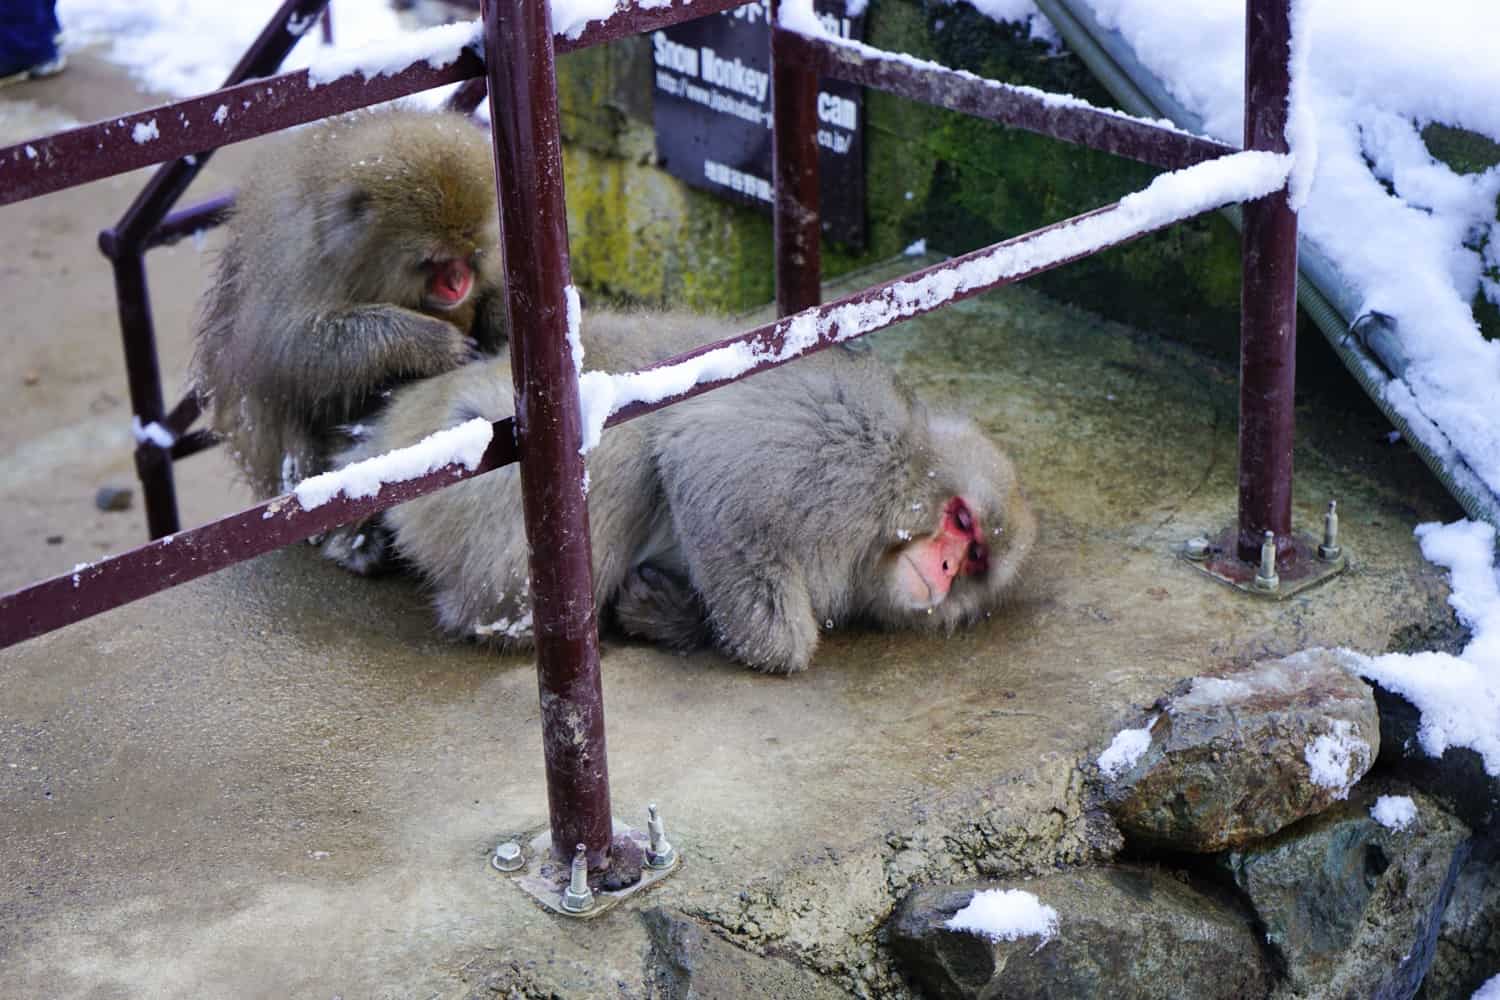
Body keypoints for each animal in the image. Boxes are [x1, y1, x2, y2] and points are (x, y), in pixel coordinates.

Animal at [192, 107, 510, 569]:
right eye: (435, 261)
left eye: (471, 255)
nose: (457, 283)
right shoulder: (298, 254)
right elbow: (292, 352)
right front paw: (429, 341)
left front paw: (501, 318)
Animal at [337, 313, 1032, 671]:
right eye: (962, 522)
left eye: (975, 559)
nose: (945, 569)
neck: (912, 475)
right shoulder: (850, 459)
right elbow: (706, 470)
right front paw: (763, 642)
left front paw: (671, 615)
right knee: (622, 460)